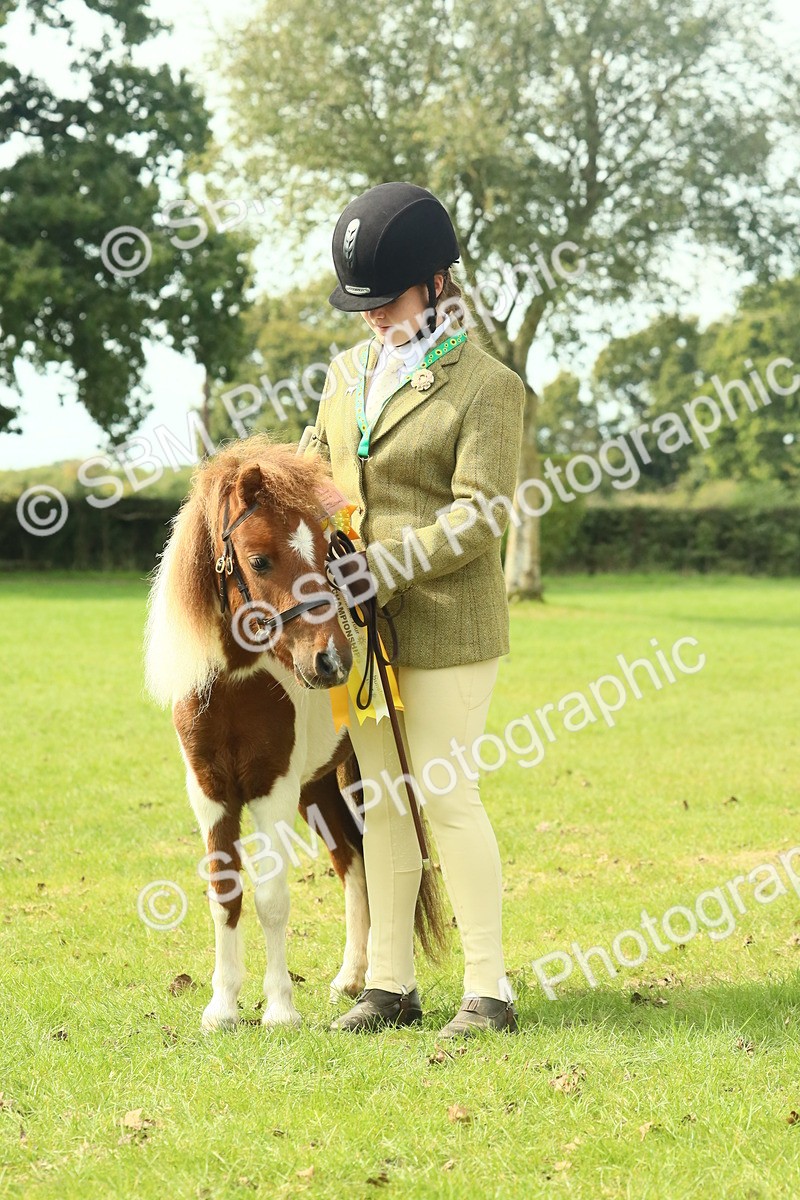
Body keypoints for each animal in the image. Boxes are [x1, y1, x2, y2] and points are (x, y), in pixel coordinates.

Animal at [144, 435, 444, 1031]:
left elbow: (272, 898)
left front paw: (279, 1008)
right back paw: (352, 979)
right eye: (259, 559)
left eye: (326, 550)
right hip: (319, 788)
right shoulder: (210, 793)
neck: (237, 683)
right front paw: (222, 1008)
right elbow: (225, 894)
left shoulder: (272, 789)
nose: (331, 662)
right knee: (353, 863)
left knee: (379, 864)